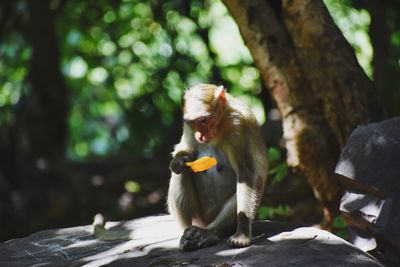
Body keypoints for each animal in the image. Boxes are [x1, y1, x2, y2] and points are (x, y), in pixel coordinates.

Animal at [167, 85, 268, 252]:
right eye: (192, 123)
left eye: (203, 120)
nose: (200, 136)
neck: (221, 123)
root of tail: (204, 223)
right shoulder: (187, 126)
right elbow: (184, 151)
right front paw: (178, 161)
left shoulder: (237, 125)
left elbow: (246, 176)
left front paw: (242, 235)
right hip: (198, 216)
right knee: (181, 173)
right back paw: (186, 235)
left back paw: (209, 234)